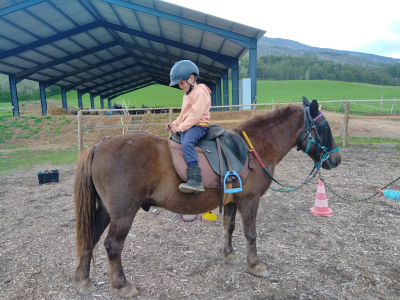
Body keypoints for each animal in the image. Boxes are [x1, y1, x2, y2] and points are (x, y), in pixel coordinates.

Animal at [72, 99, 340, 298]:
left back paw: (83, 280)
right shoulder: (250, 200)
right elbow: (251, 234)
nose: (336, 159)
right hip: (123, 212)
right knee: (112, 245)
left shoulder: (232, 202)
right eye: (325, 128)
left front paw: (229, 254)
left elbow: (229, 228)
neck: (255, 148)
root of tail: (100, 145)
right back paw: (122, 285)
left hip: (106, 210)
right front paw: (255, 265)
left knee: (90, 238)